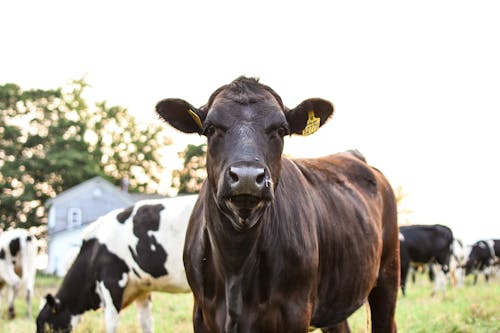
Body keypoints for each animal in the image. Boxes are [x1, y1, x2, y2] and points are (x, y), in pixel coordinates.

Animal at [156, 76, 398, 332]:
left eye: (281, 130)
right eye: (210, 128)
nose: (247, 176)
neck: (235, 266)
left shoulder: (296, 312)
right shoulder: (201, 313)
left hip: (388, 274)